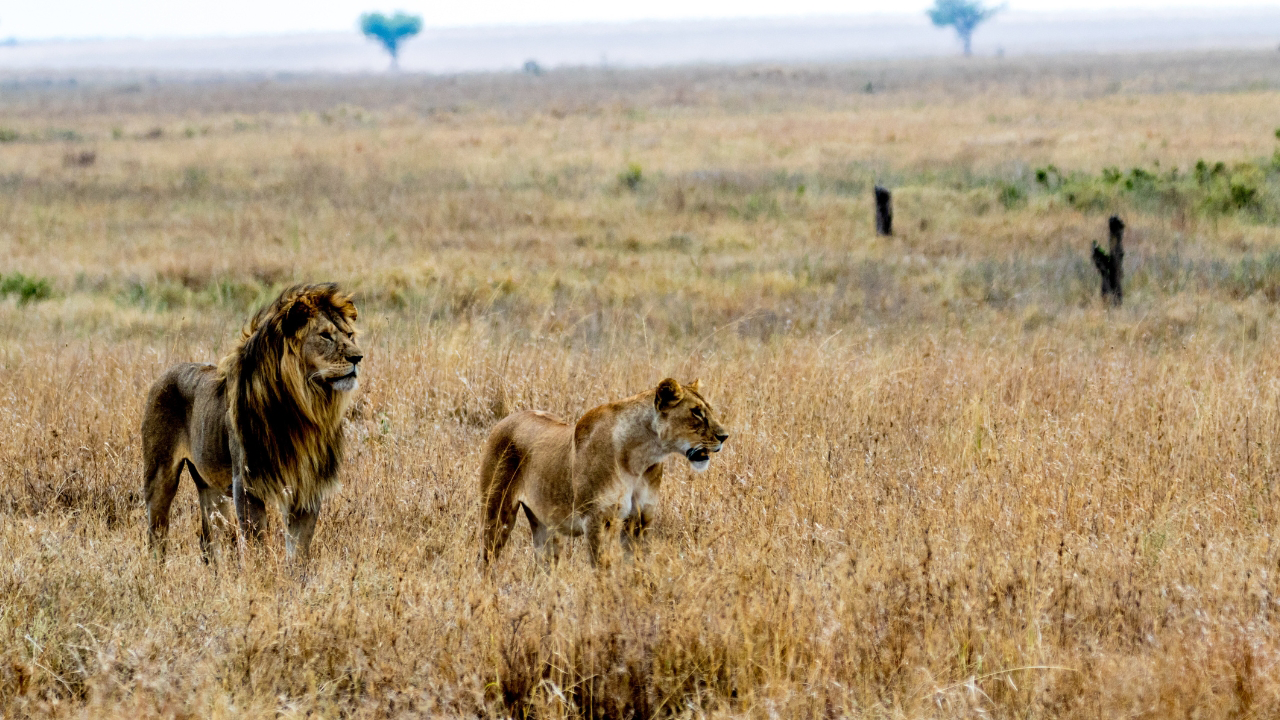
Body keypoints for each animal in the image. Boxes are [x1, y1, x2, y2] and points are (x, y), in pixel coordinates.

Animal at [142, 283, 363, 563]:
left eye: (349, 335)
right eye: (325, 336)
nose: (358, 358)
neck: (305, 409)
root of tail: (165, 375)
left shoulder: (307, 485)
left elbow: (299, 551)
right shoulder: (247, 483)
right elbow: (259, 544)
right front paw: (263, 572)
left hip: (212, 487)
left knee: (209, 540)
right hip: (160, 476)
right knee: (157, 535)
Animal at [481, 376, 732, 566]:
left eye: (707, 410)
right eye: (696, 412)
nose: (724, 436)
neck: (640, 458)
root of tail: (507, 418)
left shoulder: (640, 520)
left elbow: (636, 567)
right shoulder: (597, 520)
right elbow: (603, 568)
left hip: (546, 524)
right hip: (496, 512)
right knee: (486, 558)